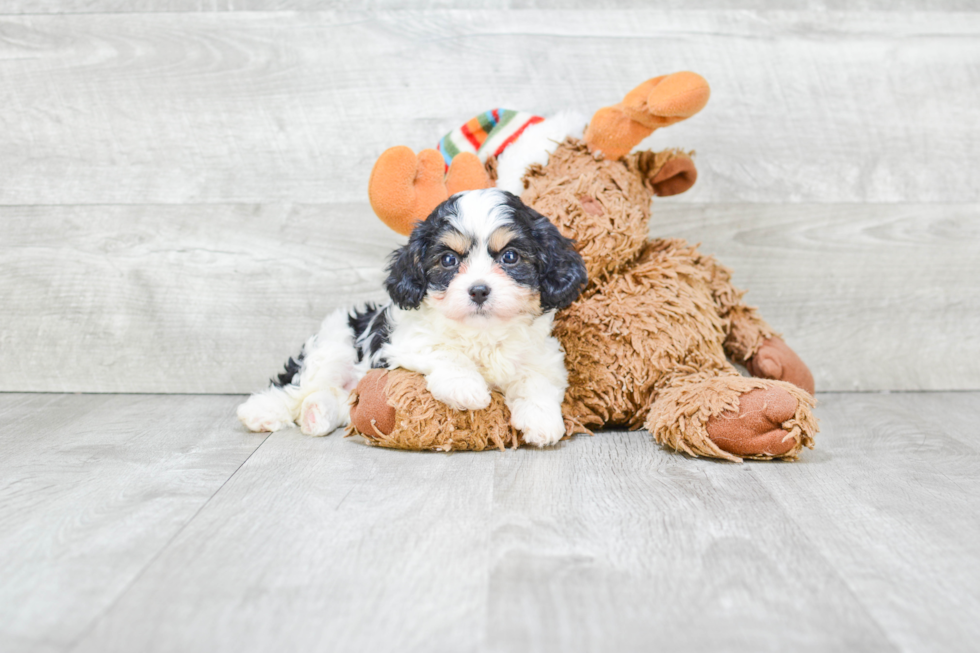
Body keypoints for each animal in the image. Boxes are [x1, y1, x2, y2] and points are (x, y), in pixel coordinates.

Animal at [238, 186, 584, 446]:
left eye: (510, 256)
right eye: (448, 260)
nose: (478, 290)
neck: (482, 332)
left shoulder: (542, 357)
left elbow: (536, 380)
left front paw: (542, 421)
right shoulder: (404, 341)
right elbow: (444, 351)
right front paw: (466, 388)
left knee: (337, 400)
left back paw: (316, 415)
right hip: (333, 345)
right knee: (298, 386)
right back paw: (261, 411)